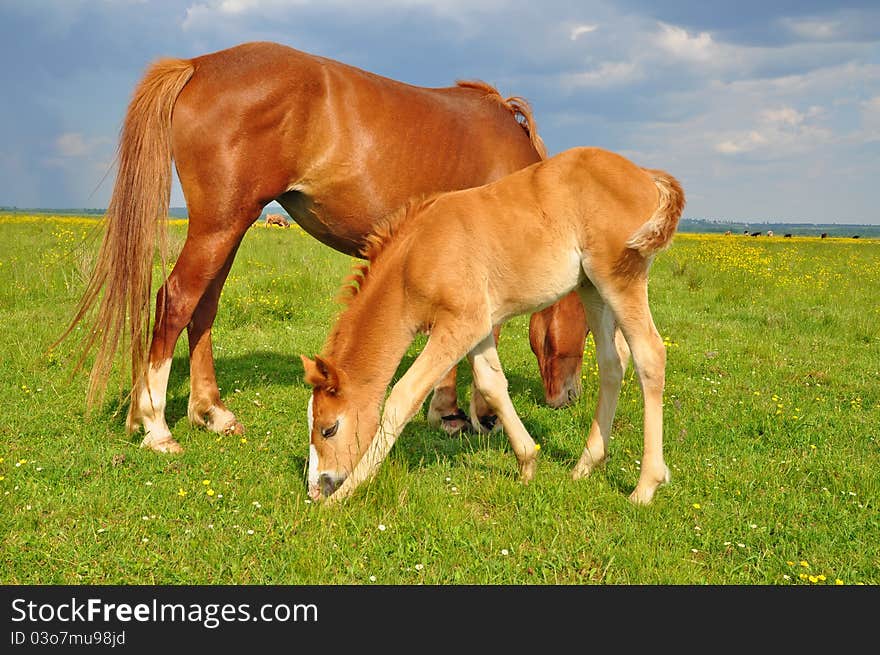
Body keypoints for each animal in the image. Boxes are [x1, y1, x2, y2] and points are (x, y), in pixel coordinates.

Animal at [302, 147, 688, 508]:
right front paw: (527, 463)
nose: (317, 488)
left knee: (649, 354)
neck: (416, 257)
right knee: (612, 362)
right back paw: (585, 465)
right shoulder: (477, 326)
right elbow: (491, 384)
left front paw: (343, 496)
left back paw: (645, 486)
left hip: (620, 278)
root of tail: (646, 175)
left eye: (329, 428)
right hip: (591, 288)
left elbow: (403, 396)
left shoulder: (458, 324)